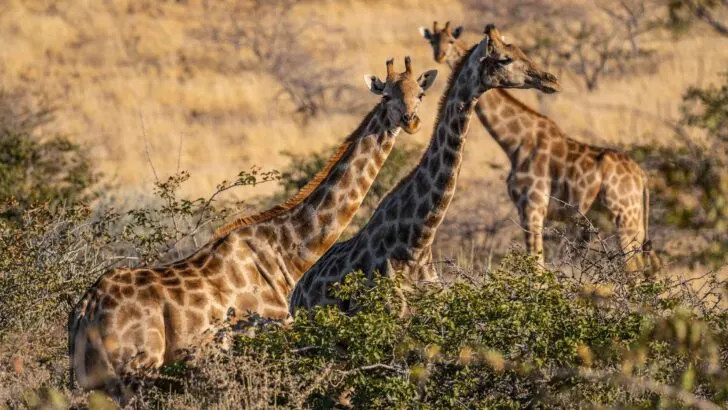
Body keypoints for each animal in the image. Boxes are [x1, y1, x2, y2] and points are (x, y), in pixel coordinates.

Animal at [69, 56, 438, 398]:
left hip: (90, 382)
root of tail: (85, 311)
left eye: (419, 94)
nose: (411, 121)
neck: (286, 252)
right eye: (387, 95)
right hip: (135, 372)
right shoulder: (269, 335)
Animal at [420, 20, 656, 268]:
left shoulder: (532, 208)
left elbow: (537, 264)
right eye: (432, 41)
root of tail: (642, 178)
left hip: (624, 221)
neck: (515, 141)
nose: (552, 80)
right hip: (633, 225)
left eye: (451, 40)